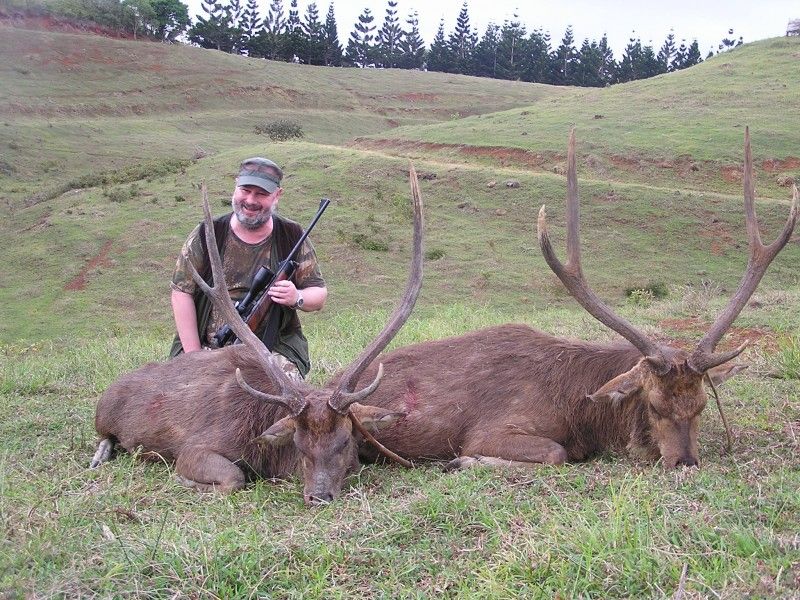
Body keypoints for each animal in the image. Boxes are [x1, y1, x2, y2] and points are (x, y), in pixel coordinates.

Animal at [90, 168, 424, 505]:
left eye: (345, 442)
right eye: (299, 444)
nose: (318, 496)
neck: (265, 450)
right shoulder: (195, 447)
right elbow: (233, 477)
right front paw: (186, 481)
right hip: (103, 414)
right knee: (105, 435)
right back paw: (100, 454)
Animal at [348, 128, 797, 471]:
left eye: (703, 405)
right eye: (653, 405)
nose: (685, 463)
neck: (582, 413)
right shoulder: (492, 428)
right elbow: (555, 453)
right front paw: (465, 462)